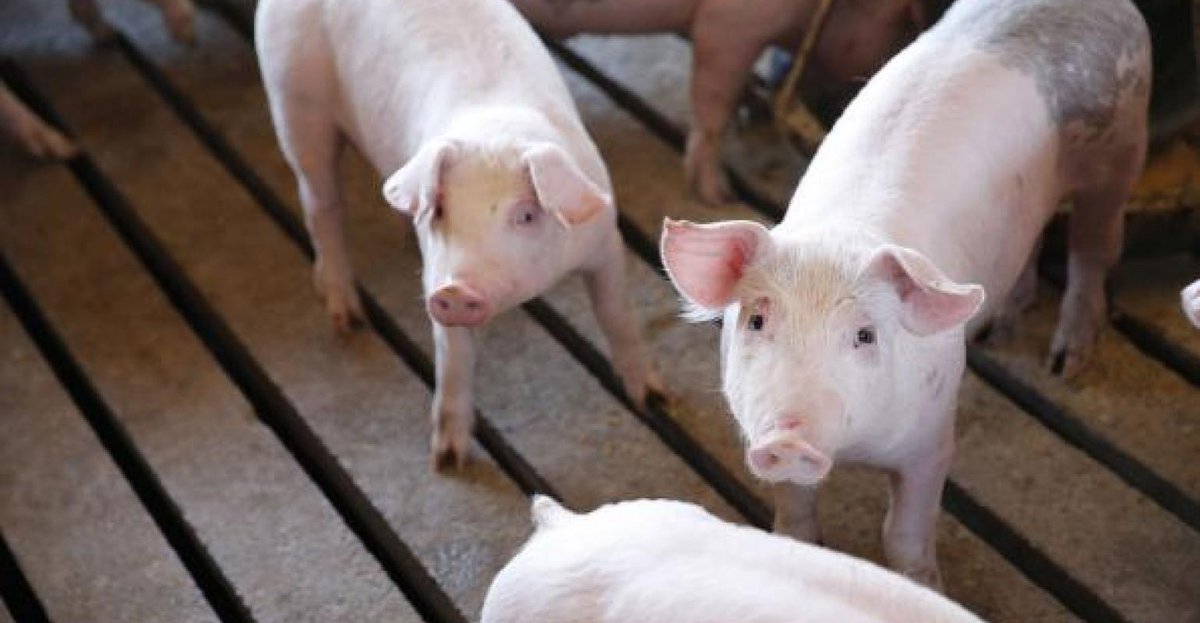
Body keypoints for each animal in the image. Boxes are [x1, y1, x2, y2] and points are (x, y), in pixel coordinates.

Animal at [256, 0, 658, 468]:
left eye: (525, 215)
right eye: (442, 209)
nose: (455, 289)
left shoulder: (605, 241)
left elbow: (616, 314)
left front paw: (654, 399)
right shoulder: (436, 271)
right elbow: (453, 360)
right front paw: (448, 460)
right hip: (294, 98)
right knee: (322, 205)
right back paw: (347, 322)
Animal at [660, 0, 1149, 587]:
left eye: (865, 335)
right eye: (756, 321)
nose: (788, 438)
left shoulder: (932, 438)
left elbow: (904, 532)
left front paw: (925, 584)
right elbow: (794, 514)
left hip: (1121, 147)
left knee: (1092, 249)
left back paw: (1065, 361)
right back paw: (997, 328)